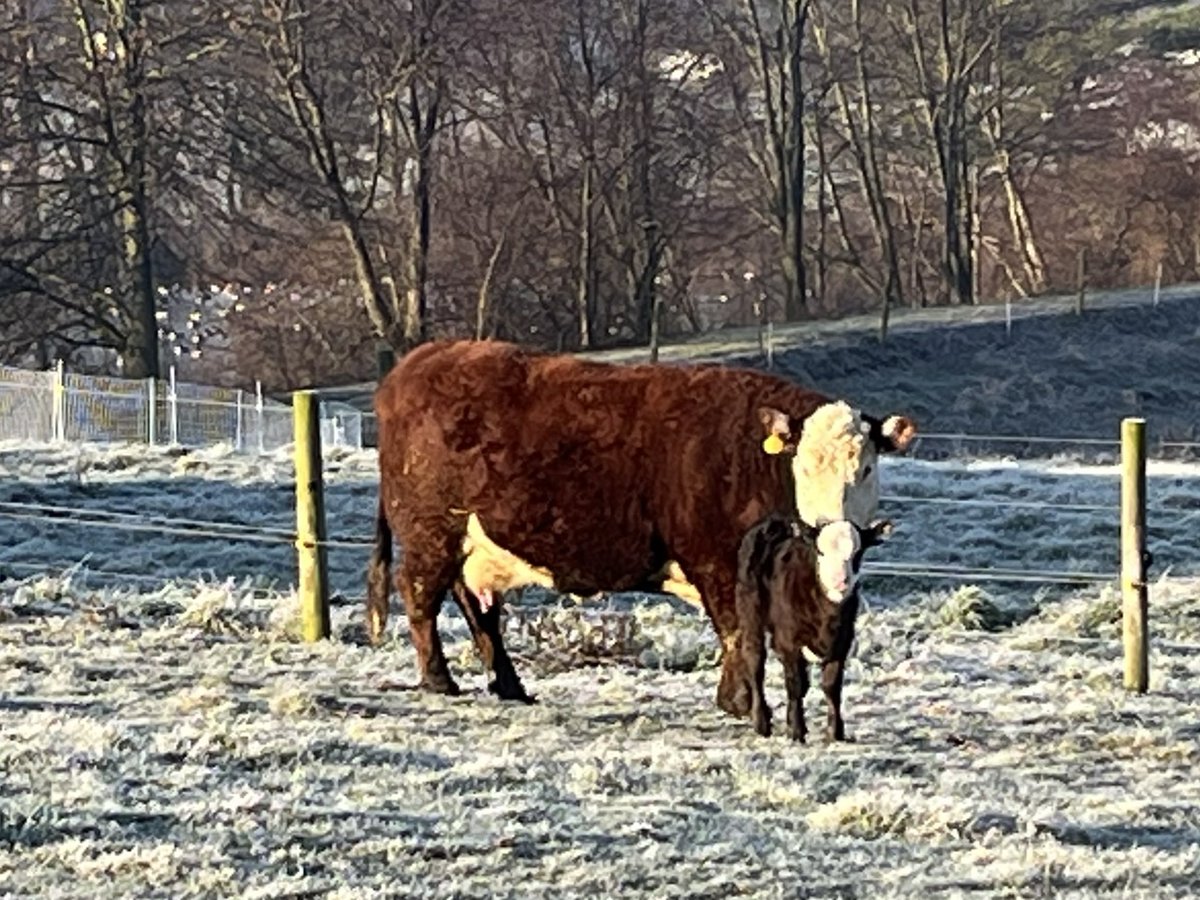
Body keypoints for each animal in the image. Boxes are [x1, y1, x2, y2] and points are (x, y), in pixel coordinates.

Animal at [366, 338, 916, 716]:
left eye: (866, 467)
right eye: (803, 464)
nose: (828, 524)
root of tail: (421, 360)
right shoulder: (715, 559)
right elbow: (735, 629)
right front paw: (738, 700)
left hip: (472, 543)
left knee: (477, 608)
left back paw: (510, 686)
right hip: (430, 533)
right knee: (420, 597)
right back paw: (439, 680)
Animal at [735, 513, 893, 742]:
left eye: (857, 552)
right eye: (820, 551)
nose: (839, 580)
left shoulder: (842, 641)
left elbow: (831, 686)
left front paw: (835, 732)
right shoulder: (789, 641)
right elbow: (794, 685)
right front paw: (796, 732)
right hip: (750, 618)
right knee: (755, 663)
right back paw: (761, 722)